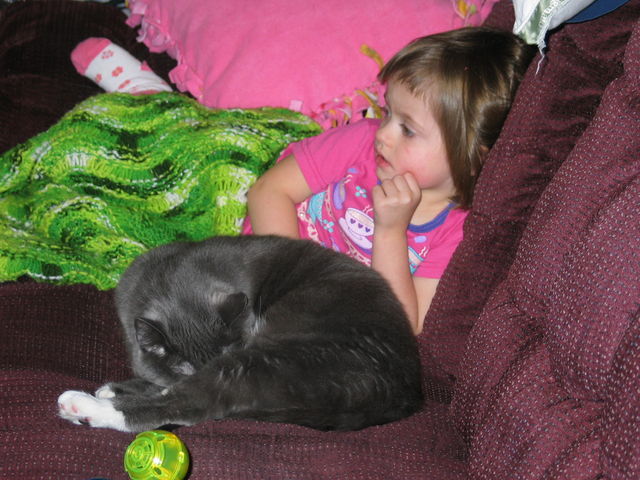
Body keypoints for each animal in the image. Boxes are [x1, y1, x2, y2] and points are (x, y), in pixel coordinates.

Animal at [58, 235, 423, 432]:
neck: (173, 281)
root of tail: (400, 395)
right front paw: (120, 386)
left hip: (278, 359)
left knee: (193, 402)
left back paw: (84, 406)